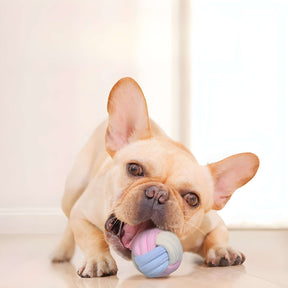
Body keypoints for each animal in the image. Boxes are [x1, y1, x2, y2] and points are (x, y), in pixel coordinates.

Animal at [50, 76, 260, 276]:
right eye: (134, 169)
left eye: (193, 199)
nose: (158, 194)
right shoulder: (82, 214)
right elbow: (91, 237)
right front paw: (97, 260)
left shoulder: (213, 223)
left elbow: (218, 235)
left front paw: (222, 250)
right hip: (73, 190)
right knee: (69, 222)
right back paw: (61, 251)